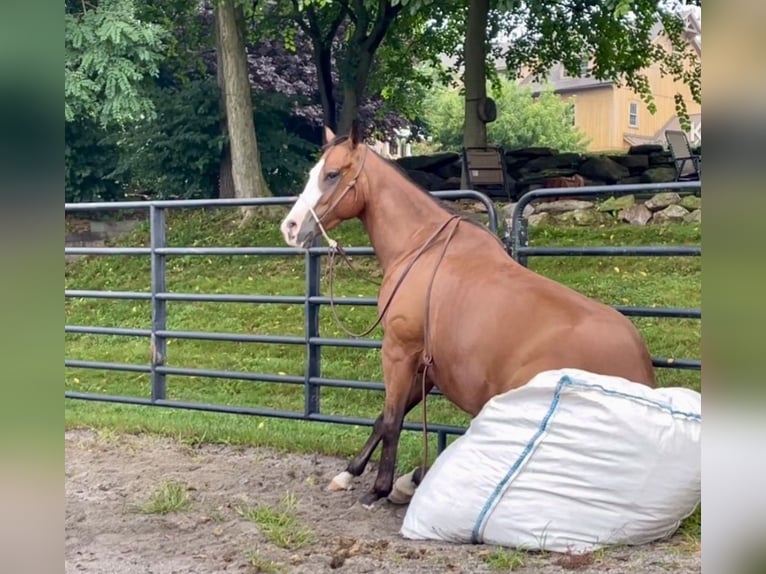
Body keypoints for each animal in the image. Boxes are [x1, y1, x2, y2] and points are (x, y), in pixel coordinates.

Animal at [279, 124, 656, 509]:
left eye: (332, 174)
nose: (290, 227)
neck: (420, 248)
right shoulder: (426, 365)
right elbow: (384, 418)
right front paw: (351, 473)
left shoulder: (399, 351)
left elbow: (393, 418)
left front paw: (379, 487)